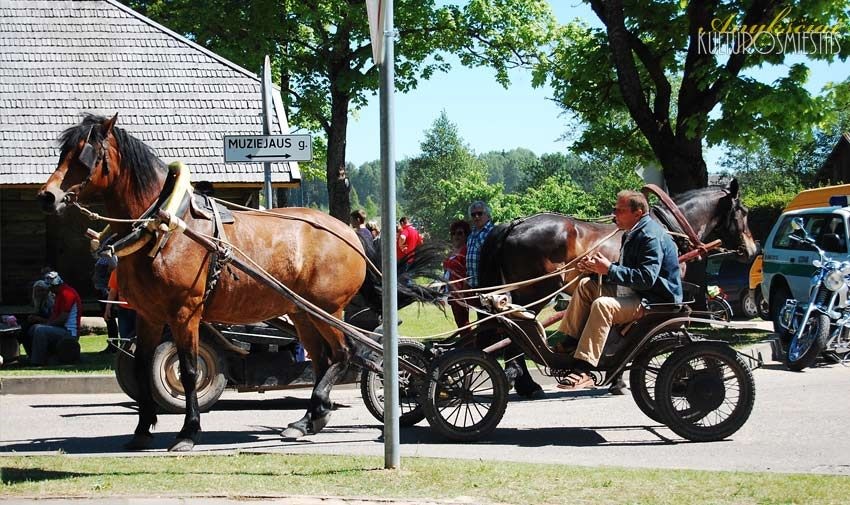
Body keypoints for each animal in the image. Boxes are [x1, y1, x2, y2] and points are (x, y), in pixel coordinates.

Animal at [39, 113, 420, 448]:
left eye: (85, 154)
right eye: (63, 151)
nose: (47, 195)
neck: (167, 228)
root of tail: (349, 234)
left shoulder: (185, 313)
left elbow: (189, 371)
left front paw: (188, 432)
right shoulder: (148, 315)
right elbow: (143, 365)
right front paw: (143, 428)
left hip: (328, 309)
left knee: (343, 354)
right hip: (302, 313)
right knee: (325, 360)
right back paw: (309, 419)